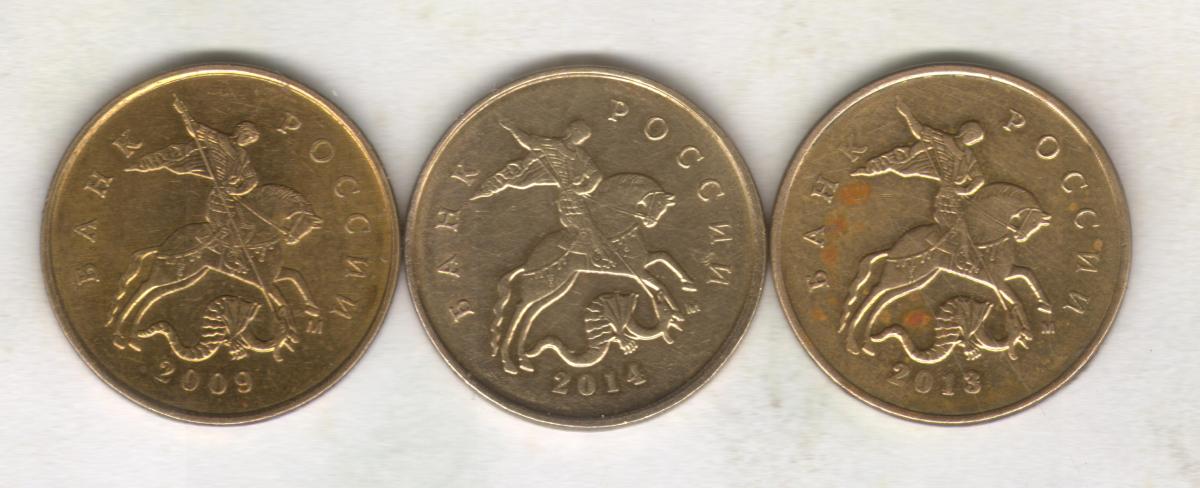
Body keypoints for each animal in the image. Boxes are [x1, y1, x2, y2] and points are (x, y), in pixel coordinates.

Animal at [105, 184, 323, 362]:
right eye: (302, 222)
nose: (293, 239)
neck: (262, 233)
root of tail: (163, 246)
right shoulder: (265, 282)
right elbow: (284, 300)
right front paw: (292, 332)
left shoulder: (272, 276)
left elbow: (296, 277)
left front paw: (312, 312)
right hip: (170, 273)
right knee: (142, 289)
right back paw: (121, 333)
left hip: (186, 277)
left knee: (153, 295)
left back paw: (130, 333)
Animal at [489, 173, 696, 375]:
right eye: (658, 204)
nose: (651, 222)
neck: (614, 229)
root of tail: (528, 263)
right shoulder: (636, 269)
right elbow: (660, 281)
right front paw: (673, 309)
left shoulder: (642, 262)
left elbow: (665, 258)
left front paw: (686, 287)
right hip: (543, 284)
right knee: (519, 310)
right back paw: (510, 362)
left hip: (560, 284)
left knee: (531, 313)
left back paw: (522, 359)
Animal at [839, 183, 1053, 361]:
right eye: (1032, 220)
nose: (1022, 235)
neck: (990, 237)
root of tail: (893, 249)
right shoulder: (997, 280)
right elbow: (1016, 297)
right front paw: (1025, 330)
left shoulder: (1005, 274)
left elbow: (1027, 275)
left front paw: (1043, 305)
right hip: (899, 276)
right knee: (873, 295)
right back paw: (855, 342)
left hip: (917, 279)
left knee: (883, 299)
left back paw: (864, 342)